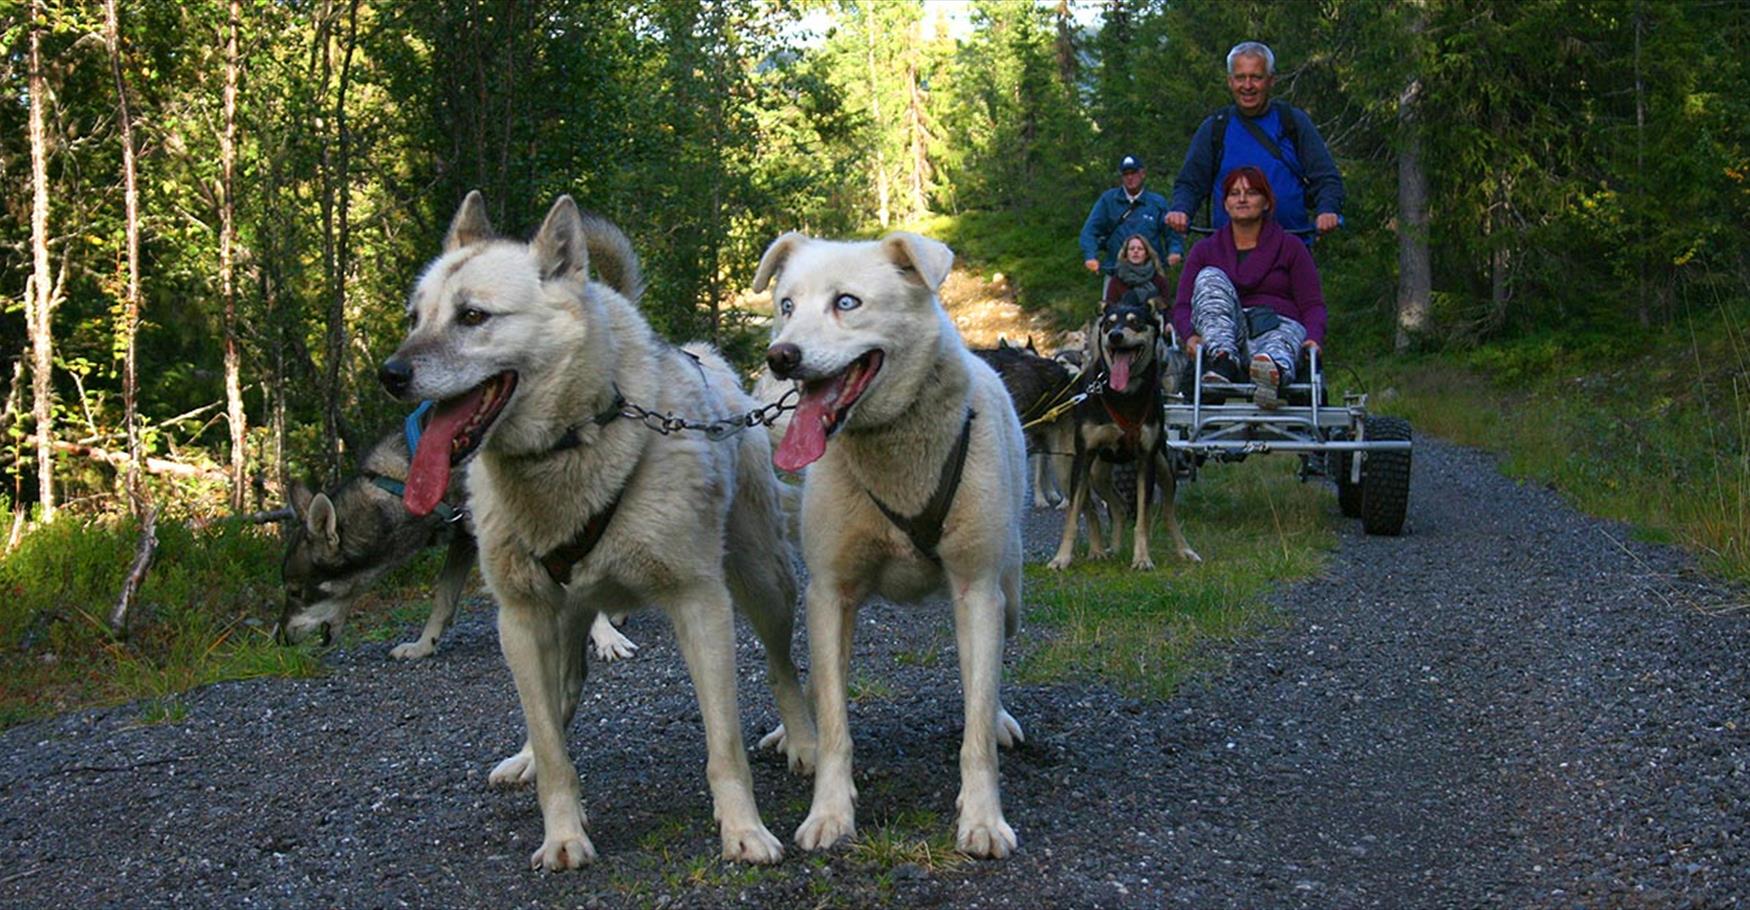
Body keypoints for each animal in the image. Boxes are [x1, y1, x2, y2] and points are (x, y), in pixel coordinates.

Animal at [379, 191, 815, 868]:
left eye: (473, 315)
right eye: (414, 317)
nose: (390, 373)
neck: (576, 443)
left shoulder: (700, 604)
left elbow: (725, 746)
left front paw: (743, 829)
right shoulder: (521, 621)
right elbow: (553, 745)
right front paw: (562, 831)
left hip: (762, 581)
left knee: (782, 667)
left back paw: (803, 742)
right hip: (564, 618)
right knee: (563, 696)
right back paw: (527, 758)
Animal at [759, 231, 1029, 857]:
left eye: (847, 303)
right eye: (786, 305)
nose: (781, 356)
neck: (894, 459)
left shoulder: (977, 591)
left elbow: (977, 723)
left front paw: (983, 818)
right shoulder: (829, 596)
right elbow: (835, 724)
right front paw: (830, 814)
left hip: (1007, 595)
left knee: (991, 675)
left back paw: (1003, 718)